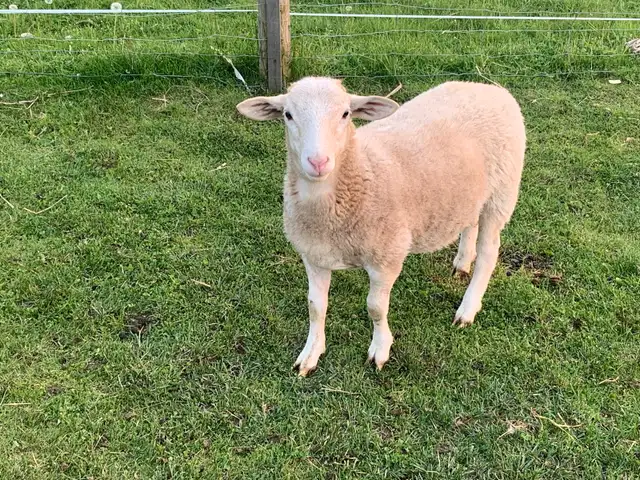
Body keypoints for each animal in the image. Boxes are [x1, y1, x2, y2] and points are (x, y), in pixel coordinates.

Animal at [236, 77, 526, 376]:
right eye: (288, 115)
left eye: (345, 114)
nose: (318, 162)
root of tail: (487, 87)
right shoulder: (314, 255)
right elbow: (315, 306)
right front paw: (311, 353)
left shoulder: (387, 257)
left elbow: (375, 307)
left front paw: (380, 349)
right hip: (473, 194)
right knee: (470, 224)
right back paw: (462, 262)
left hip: (501, 194)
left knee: (489, 253)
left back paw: (467, 309)